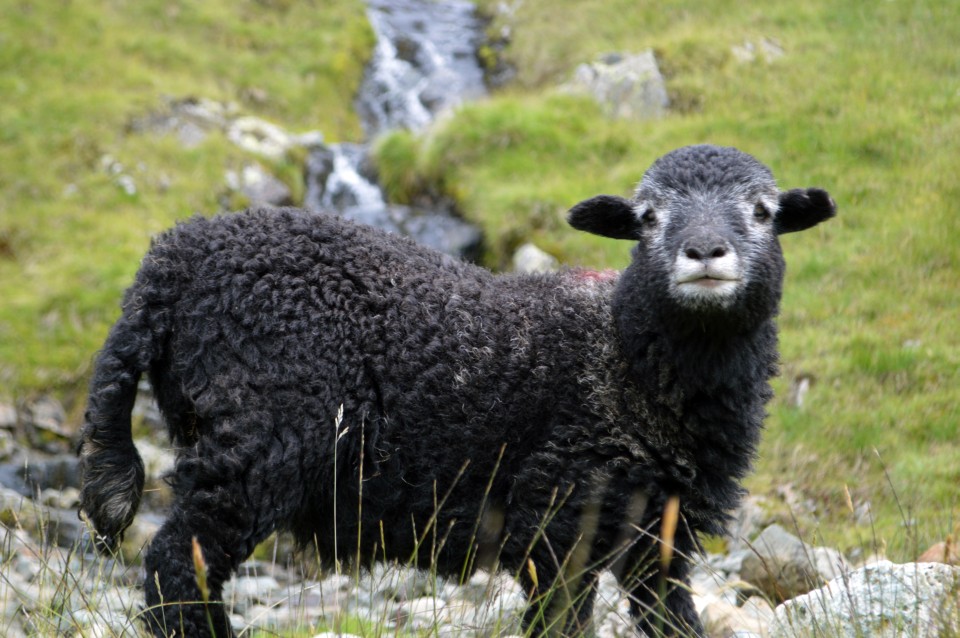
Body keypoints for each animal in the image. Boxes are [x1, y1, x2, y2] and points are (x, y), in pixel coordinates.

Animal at [78, 144, 835, 637]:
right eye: (647, 217)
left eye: (763, 211)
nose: (704, 253)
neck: (626, 357)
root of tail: (169, 261)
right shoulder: (555, 516)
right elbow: (559, 623)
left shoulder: (659, 537)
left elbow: (674, 623)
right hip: (258, 441)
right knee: (176, 568)